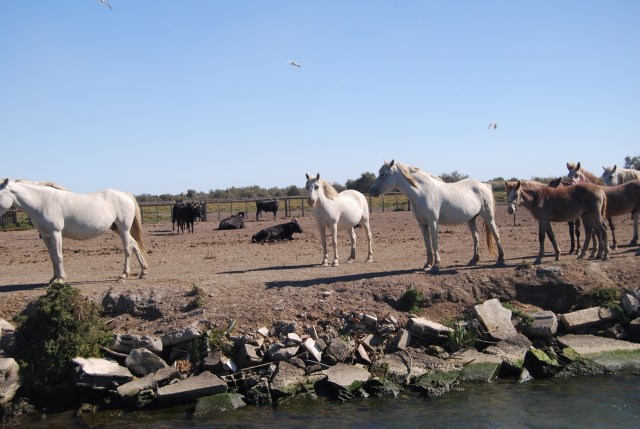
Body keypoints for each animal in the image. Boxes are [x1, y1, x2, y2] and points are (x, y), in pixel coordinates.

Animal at [0, 178, 148, 284]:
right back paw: (143, 272)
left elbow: (59, 256)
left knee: (128, 249)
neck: (42, 202)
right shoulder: (46, 236)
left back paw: (123, 276)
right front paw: (53, 279)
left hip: (124, 229)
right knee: (135, 245)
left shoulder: (55, 233)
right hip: (117, 229)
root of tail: (125, 195)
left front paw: (61, 279)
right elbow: (52, 257)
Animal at [369, 160, 504, 272]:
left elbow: (434, 242)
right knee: (476, 237)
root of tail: (484, 185)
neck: (422, 192)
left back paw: (501, 259)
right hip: (471, 219)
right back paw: (474, 260)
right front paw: (427, 265)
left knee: (496, 233)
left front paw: (436, 265)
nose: (371, 191)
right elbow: (427, 244)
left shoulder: (433, 221)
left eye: (383, 175)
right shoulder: (422, 224)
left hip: (488, 216)